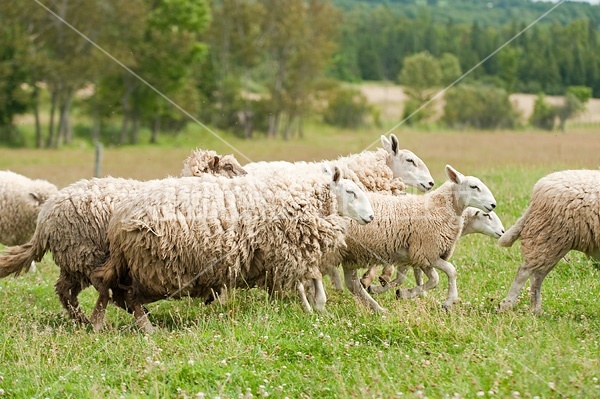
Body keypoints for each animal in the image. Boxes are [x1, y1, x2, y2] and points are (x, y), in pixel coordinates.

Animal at [0, 150, 246, 324]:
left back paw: (82, 319)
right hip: (85, 253)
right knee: (88, 289)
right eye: (228, 166)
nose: (246, 175)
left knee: (65, 290)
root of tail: (45, 217)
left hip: (74, 260)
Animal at [90, 167, 376, 332]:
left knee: (109, 287)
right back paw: (146, 328)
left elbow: (313, 277)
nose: (371, 217)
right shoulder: (286, 249)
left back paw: (98, 323)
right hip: (149, 265)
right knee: (129, 296)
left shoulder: (290, 252)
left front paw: (319, 307)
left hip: (133, 263)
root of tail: (119, 218)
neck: (305, 197)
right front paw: (309, 308)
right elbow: (303, 281)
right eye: (350, 191)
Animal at [496, 170, 600, 314]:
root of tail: (539, 189)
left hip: (551, 241)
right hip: (549, 237)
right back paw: (508, 305)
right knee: (524, 272)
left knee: (537, 276)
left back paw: (535, 310)